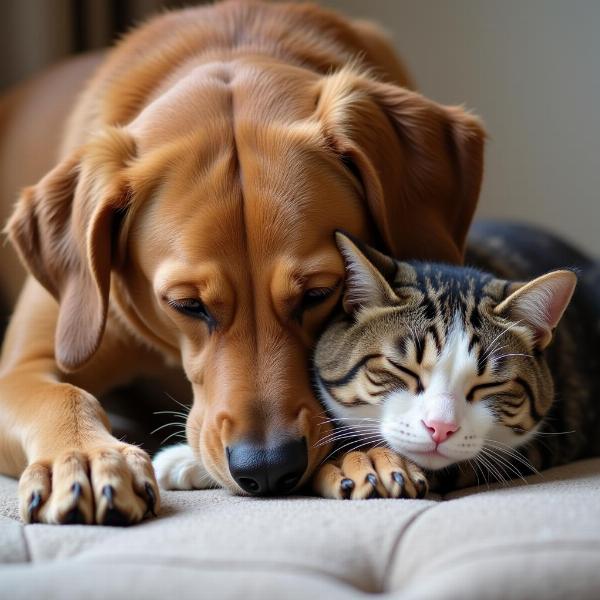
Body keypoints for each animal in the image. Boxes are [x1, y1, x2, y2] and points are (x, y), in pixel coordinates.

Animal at [0, 1, 482, 524]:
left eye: (319, 293)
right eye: (186, 305)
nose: (268, 469)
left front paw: (363, 449)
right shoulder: (29, 361)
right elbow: (63, 394)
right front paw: (87, 456)